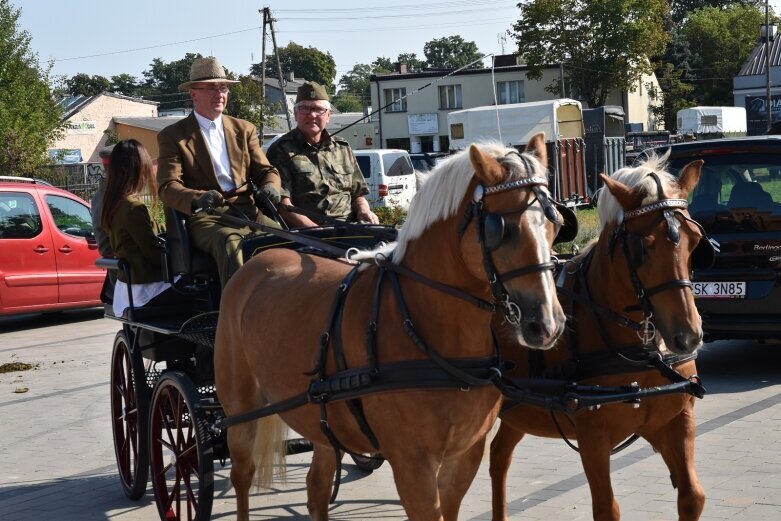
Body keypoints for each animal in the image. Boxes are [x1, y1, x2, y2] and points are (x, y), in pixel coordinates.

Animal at [213, 133, 572, 520]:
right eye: (500, 230)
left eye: (555, 225)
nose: (547, 324)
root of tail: (255, 264)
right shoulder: (412, 465)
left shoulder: (466, 456)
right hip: (240, 411)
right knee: (243, 475)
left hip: (322, 420)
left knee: (317, 487)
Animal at [494, 155, 712, 520]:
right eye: (642, 247)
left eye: (696, 240)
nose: (687, 336)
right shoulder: (593, 438)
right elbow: (606, 507)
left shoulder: (675, 422)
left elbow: (692, 496)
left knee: (499, 457)